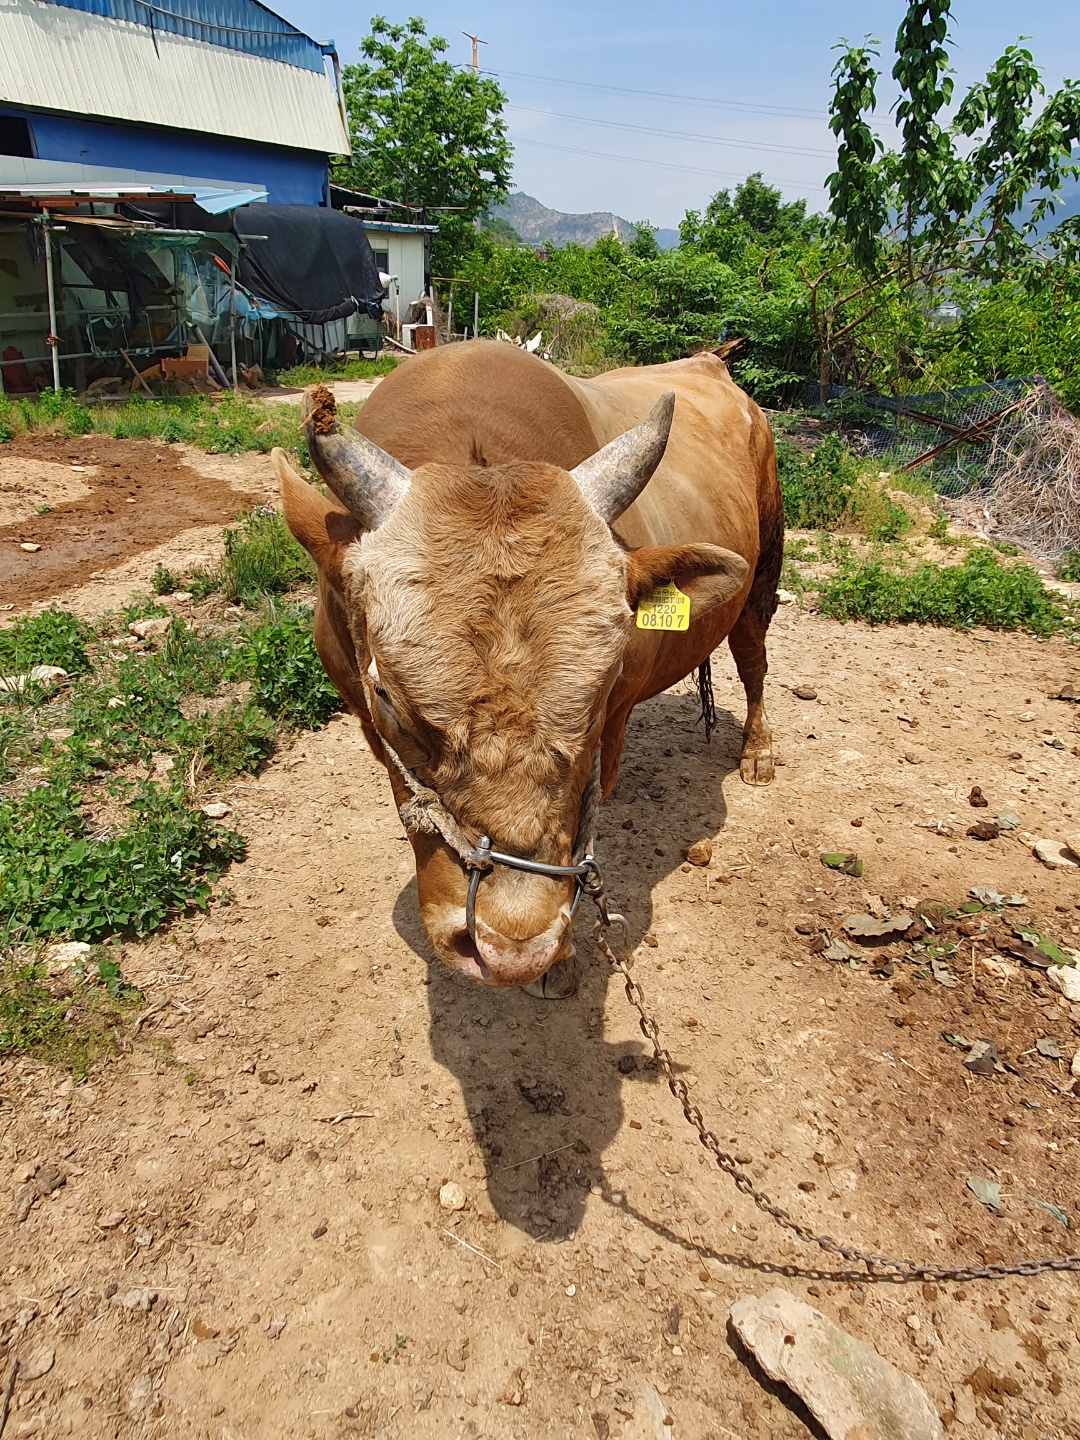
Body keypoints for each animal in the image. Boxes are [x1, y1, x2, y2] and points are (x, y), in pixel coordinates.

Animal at [275, 339, 783, 990]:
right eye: (386, 697)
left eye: (604, 687)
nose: (516, 948)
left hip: (764, 569)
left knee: (753, 660)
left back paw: (757, 751)